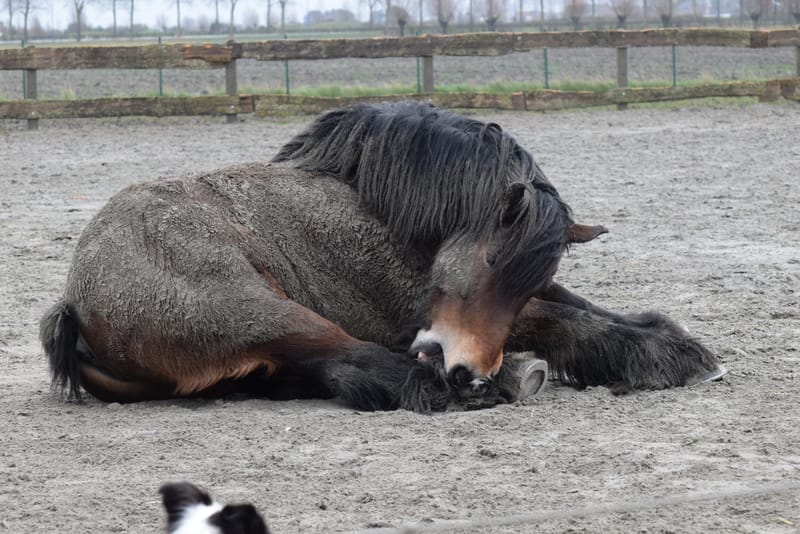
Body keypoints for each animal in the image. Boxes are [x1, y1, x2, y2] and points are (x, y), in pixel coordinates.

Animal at [40, 102, 724, 412]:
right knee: (359, 363)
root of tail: (76, 299)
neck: (391, 211)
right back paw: (486, 381)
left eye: (523, 276)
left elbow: (582, 308)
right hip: (263, 311)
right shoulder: (419, 315)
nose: (466, 369)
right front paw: (665, 355)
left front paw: (670, 339)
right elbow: (570, 321)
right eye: (490, 266)